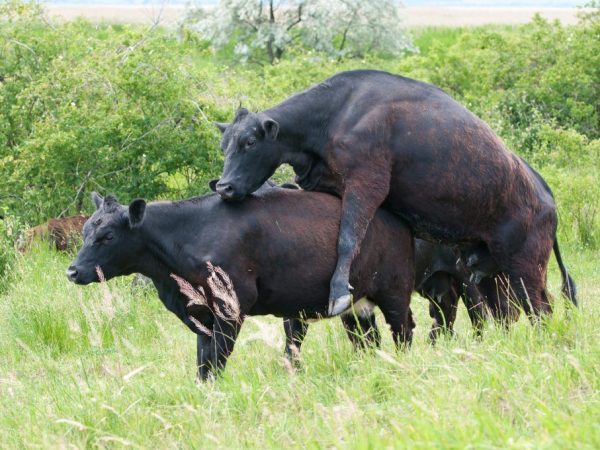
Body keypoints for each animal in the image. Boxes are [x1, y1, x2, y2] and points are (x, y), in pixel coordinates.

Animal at [213, 69, 576, 320]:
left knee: (539, 310)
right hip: (492, 272)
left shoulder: (366, 184)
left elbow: (348, 238)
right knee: (510, 312)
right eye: (224, 145)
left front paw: (338, 293)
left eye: (250, 142)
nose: (224, 186)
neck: (336, 113)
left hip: (525, 267)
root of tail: (547, 198)